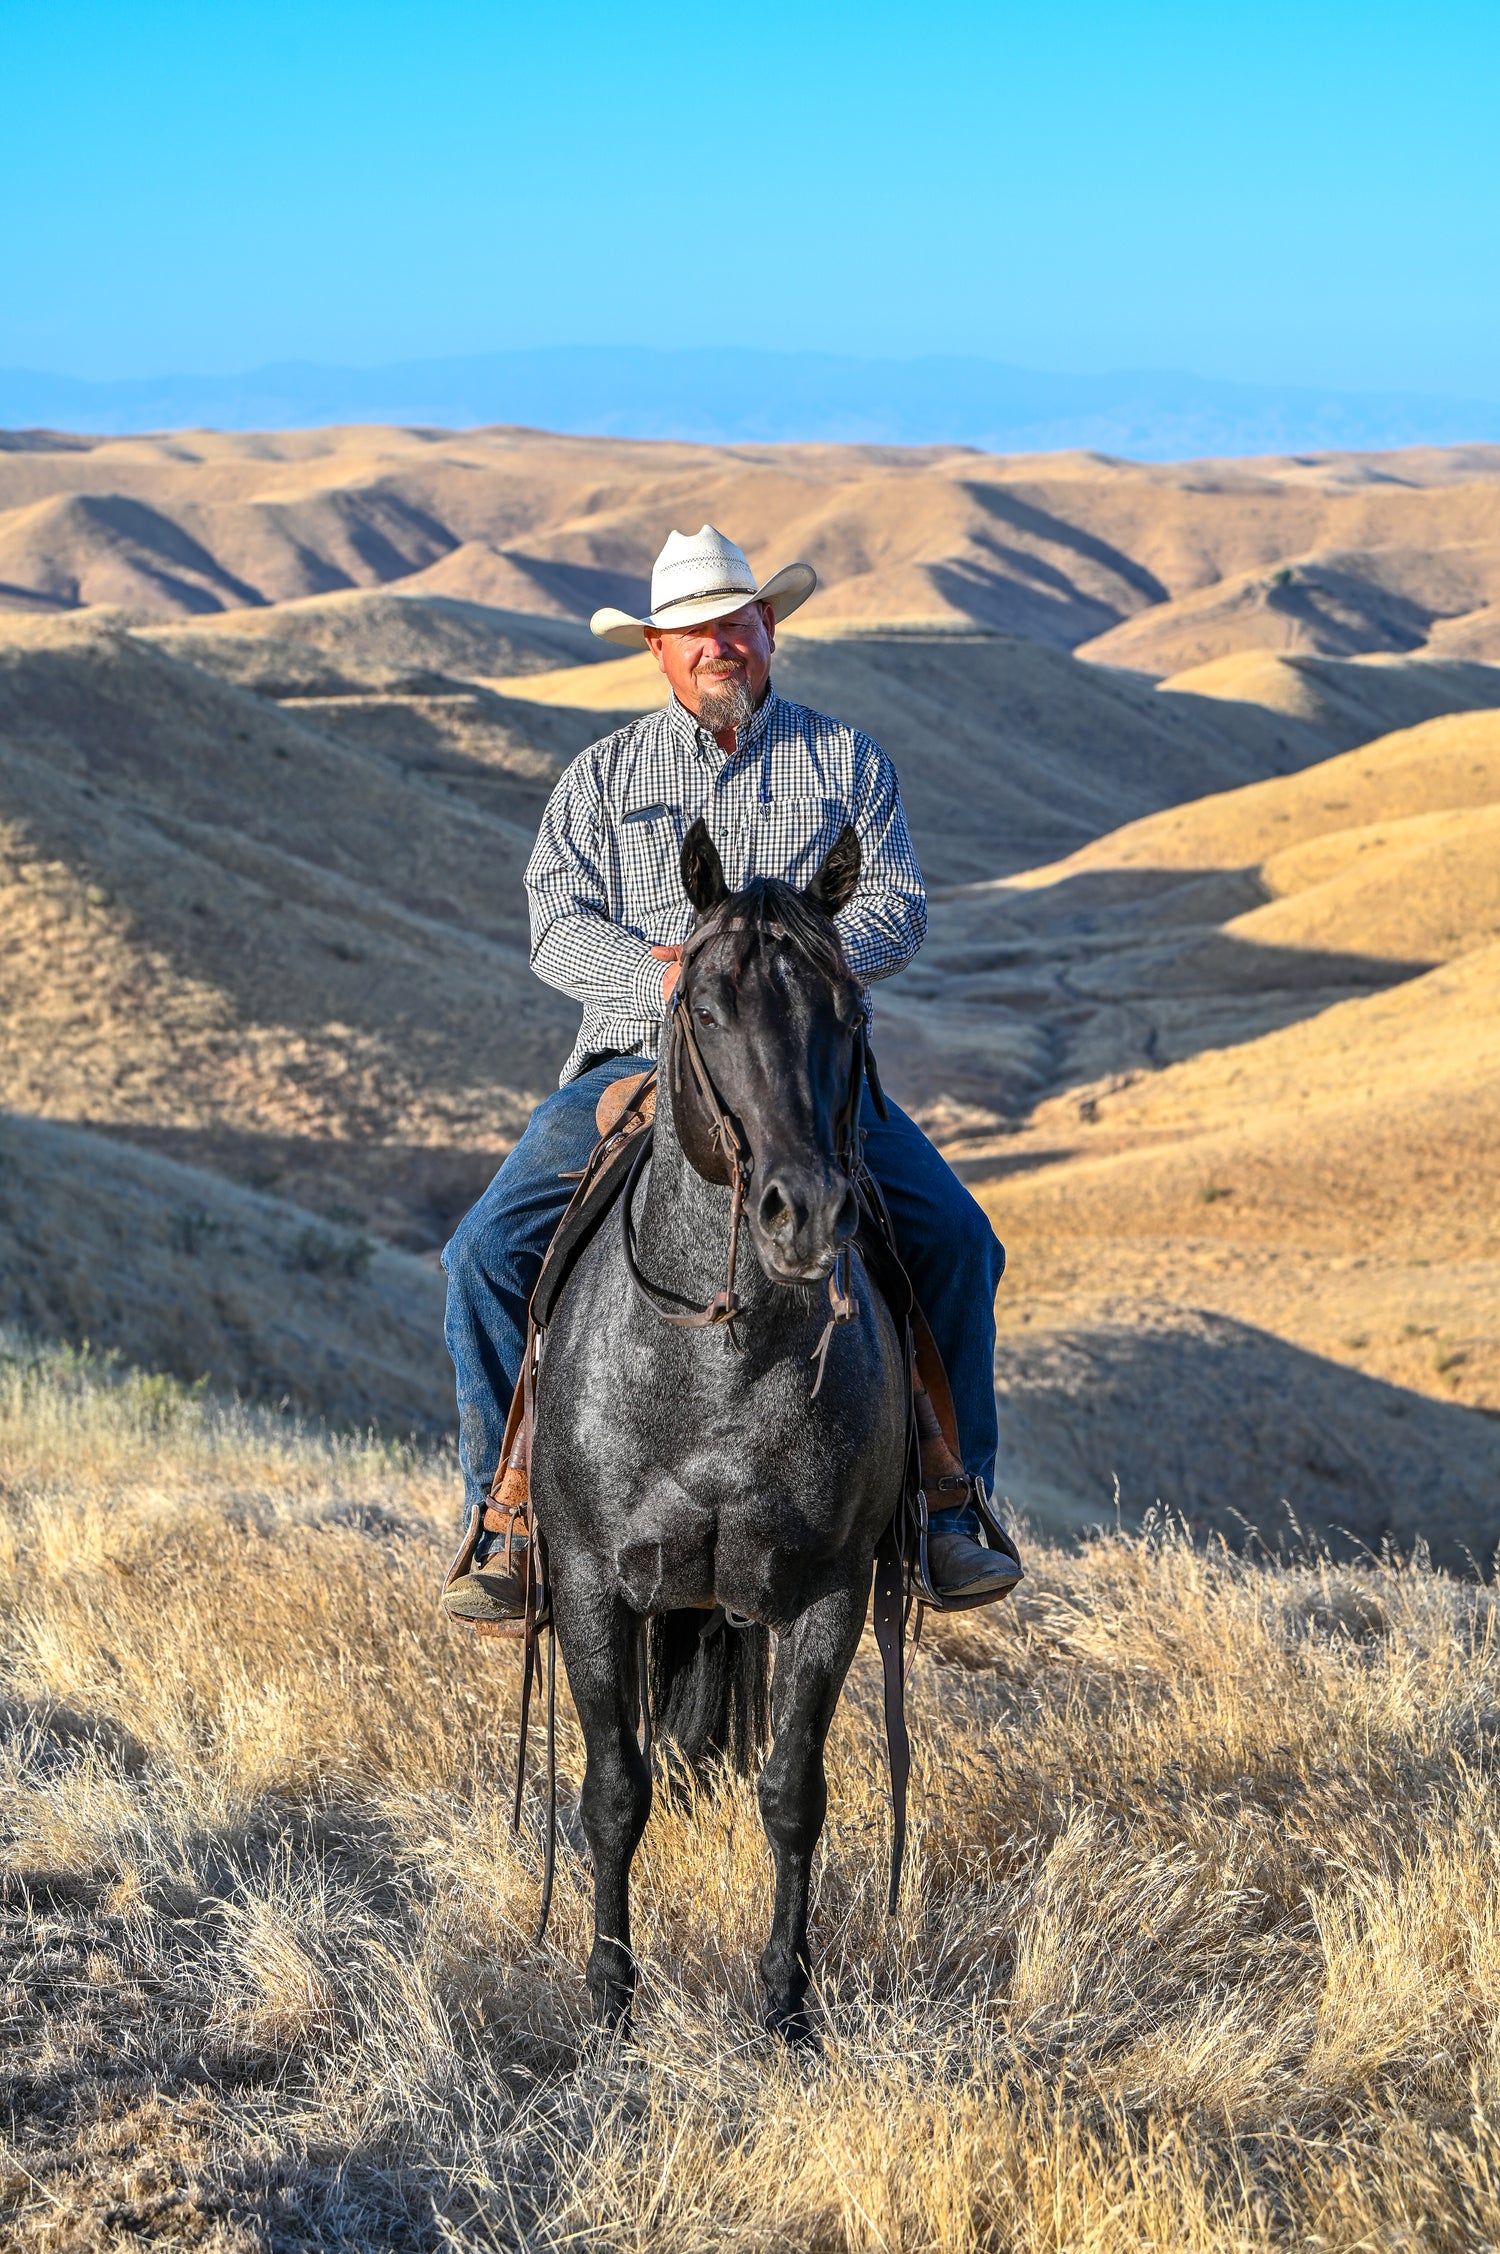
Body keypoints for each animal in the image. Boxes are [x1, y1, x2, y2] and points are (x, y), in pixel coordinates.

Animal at [525, 815, 902, 2046]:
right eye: (702, 1007)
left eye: (850, 1011)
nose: (806, 1213)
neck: (719, 1361)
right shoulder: (592, 1580)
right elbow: (613, 1791)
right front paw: (608, 1995)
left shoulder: (831, 1587)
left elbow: (792, 1793)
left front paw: (786, 2000)